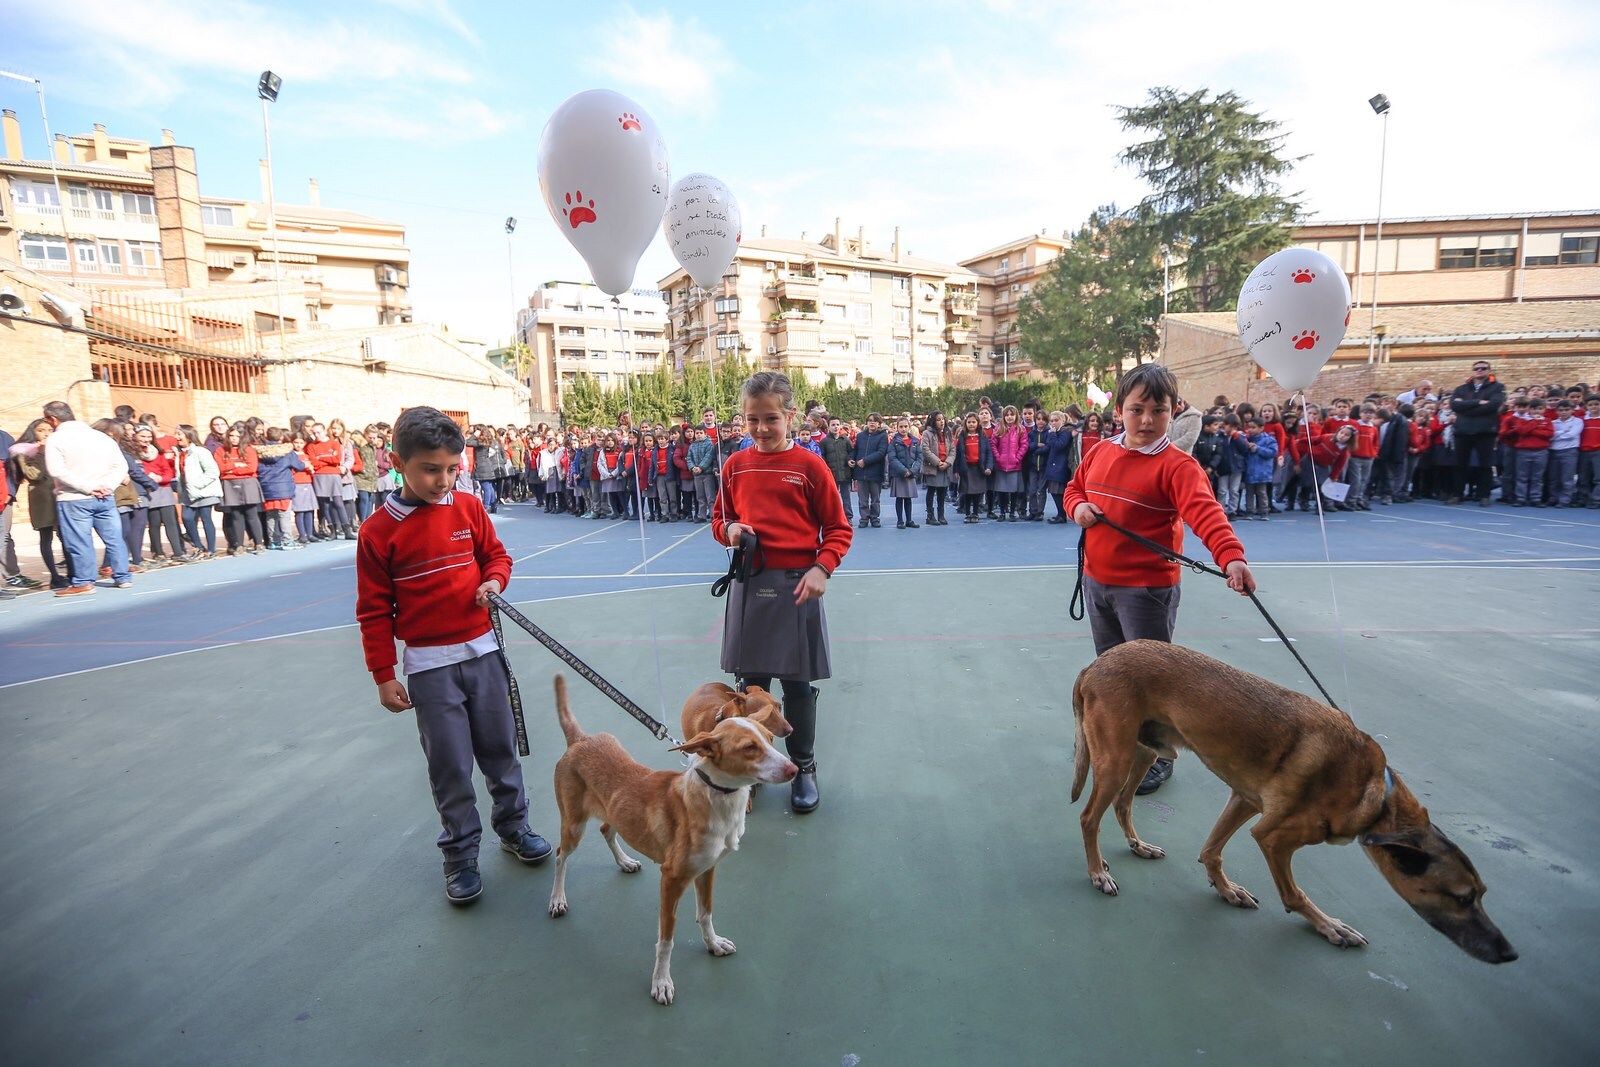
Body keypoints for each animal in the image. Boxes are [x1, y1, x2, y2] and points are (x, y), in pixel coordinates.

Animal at [550, 671, 800, 1004]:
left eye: (770, 740)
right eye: (749, 748)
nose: (794, 769)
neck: (715, 799)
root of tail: (581, 739)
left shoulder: (707, 869)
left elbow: (705, 913)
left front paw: (713, 944)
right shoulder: (671, 879)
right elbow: (666, 940)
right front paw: (661, 982)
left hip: (614, 812)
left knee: (606, 830)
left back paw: (625, 862)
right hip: (573, 824)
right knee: (560, 856)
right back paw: (557, 900)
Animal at [1075, 643, 1510, 966]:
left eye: (1481, 894)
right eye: (1461, 897)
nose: (1509, 953)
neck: (1375, 795)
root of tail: (1096, 663)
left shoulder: (1245, 801)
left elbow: (1212, 852)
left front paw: (1226, 890)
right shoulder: (1273, 837)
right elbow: (1294, 895)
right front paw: (1330, 926)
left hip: (1146, 751)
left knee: (1122, 805)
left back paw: (1138, 846)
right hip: (1115, 761)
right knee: (1088, 817)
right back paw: (1097, 873)